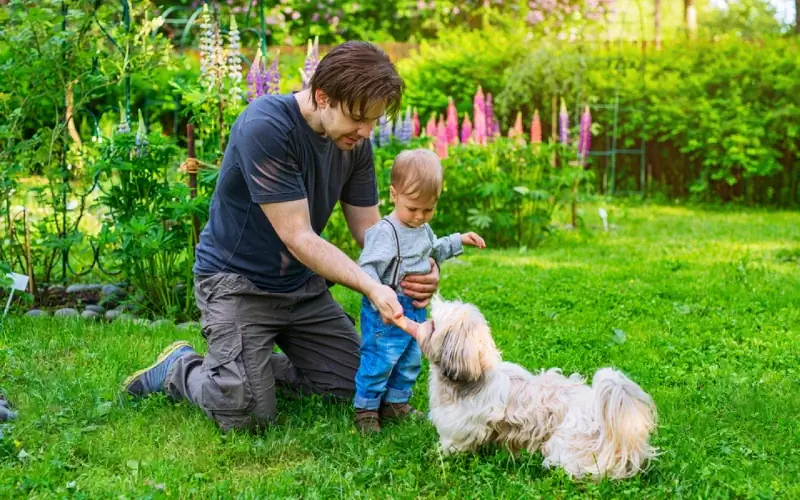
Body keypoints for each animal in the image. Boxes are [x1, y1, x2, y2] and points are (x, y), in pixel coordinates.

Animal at [404, 296, 660, 480]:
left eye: (434, 325)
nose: (421, 322)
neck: (476, 374)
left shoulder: (461, 428)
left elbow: (453, 445)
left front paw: (438, 456)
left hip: (566, 442)